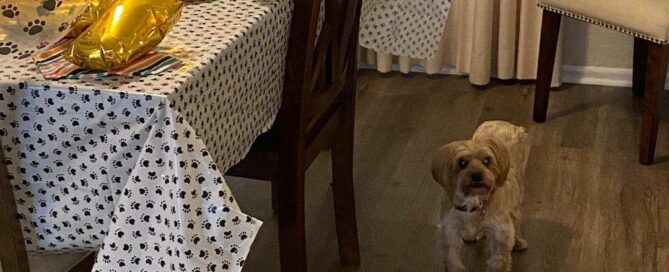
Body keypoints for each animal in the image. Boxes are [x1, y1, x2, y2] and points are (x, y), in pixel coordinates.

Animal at [430, 121, 528, 272]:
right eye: (462, 162)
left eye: (487, 161)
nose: (477, 175)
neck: (474, 200)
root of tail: (501, 122)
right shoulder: (449, 228)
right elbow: (451, 256)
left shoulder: (500, 232)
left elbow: (498, 260)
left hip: (517, 193)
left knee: (516, 220)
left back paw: (518, 241)